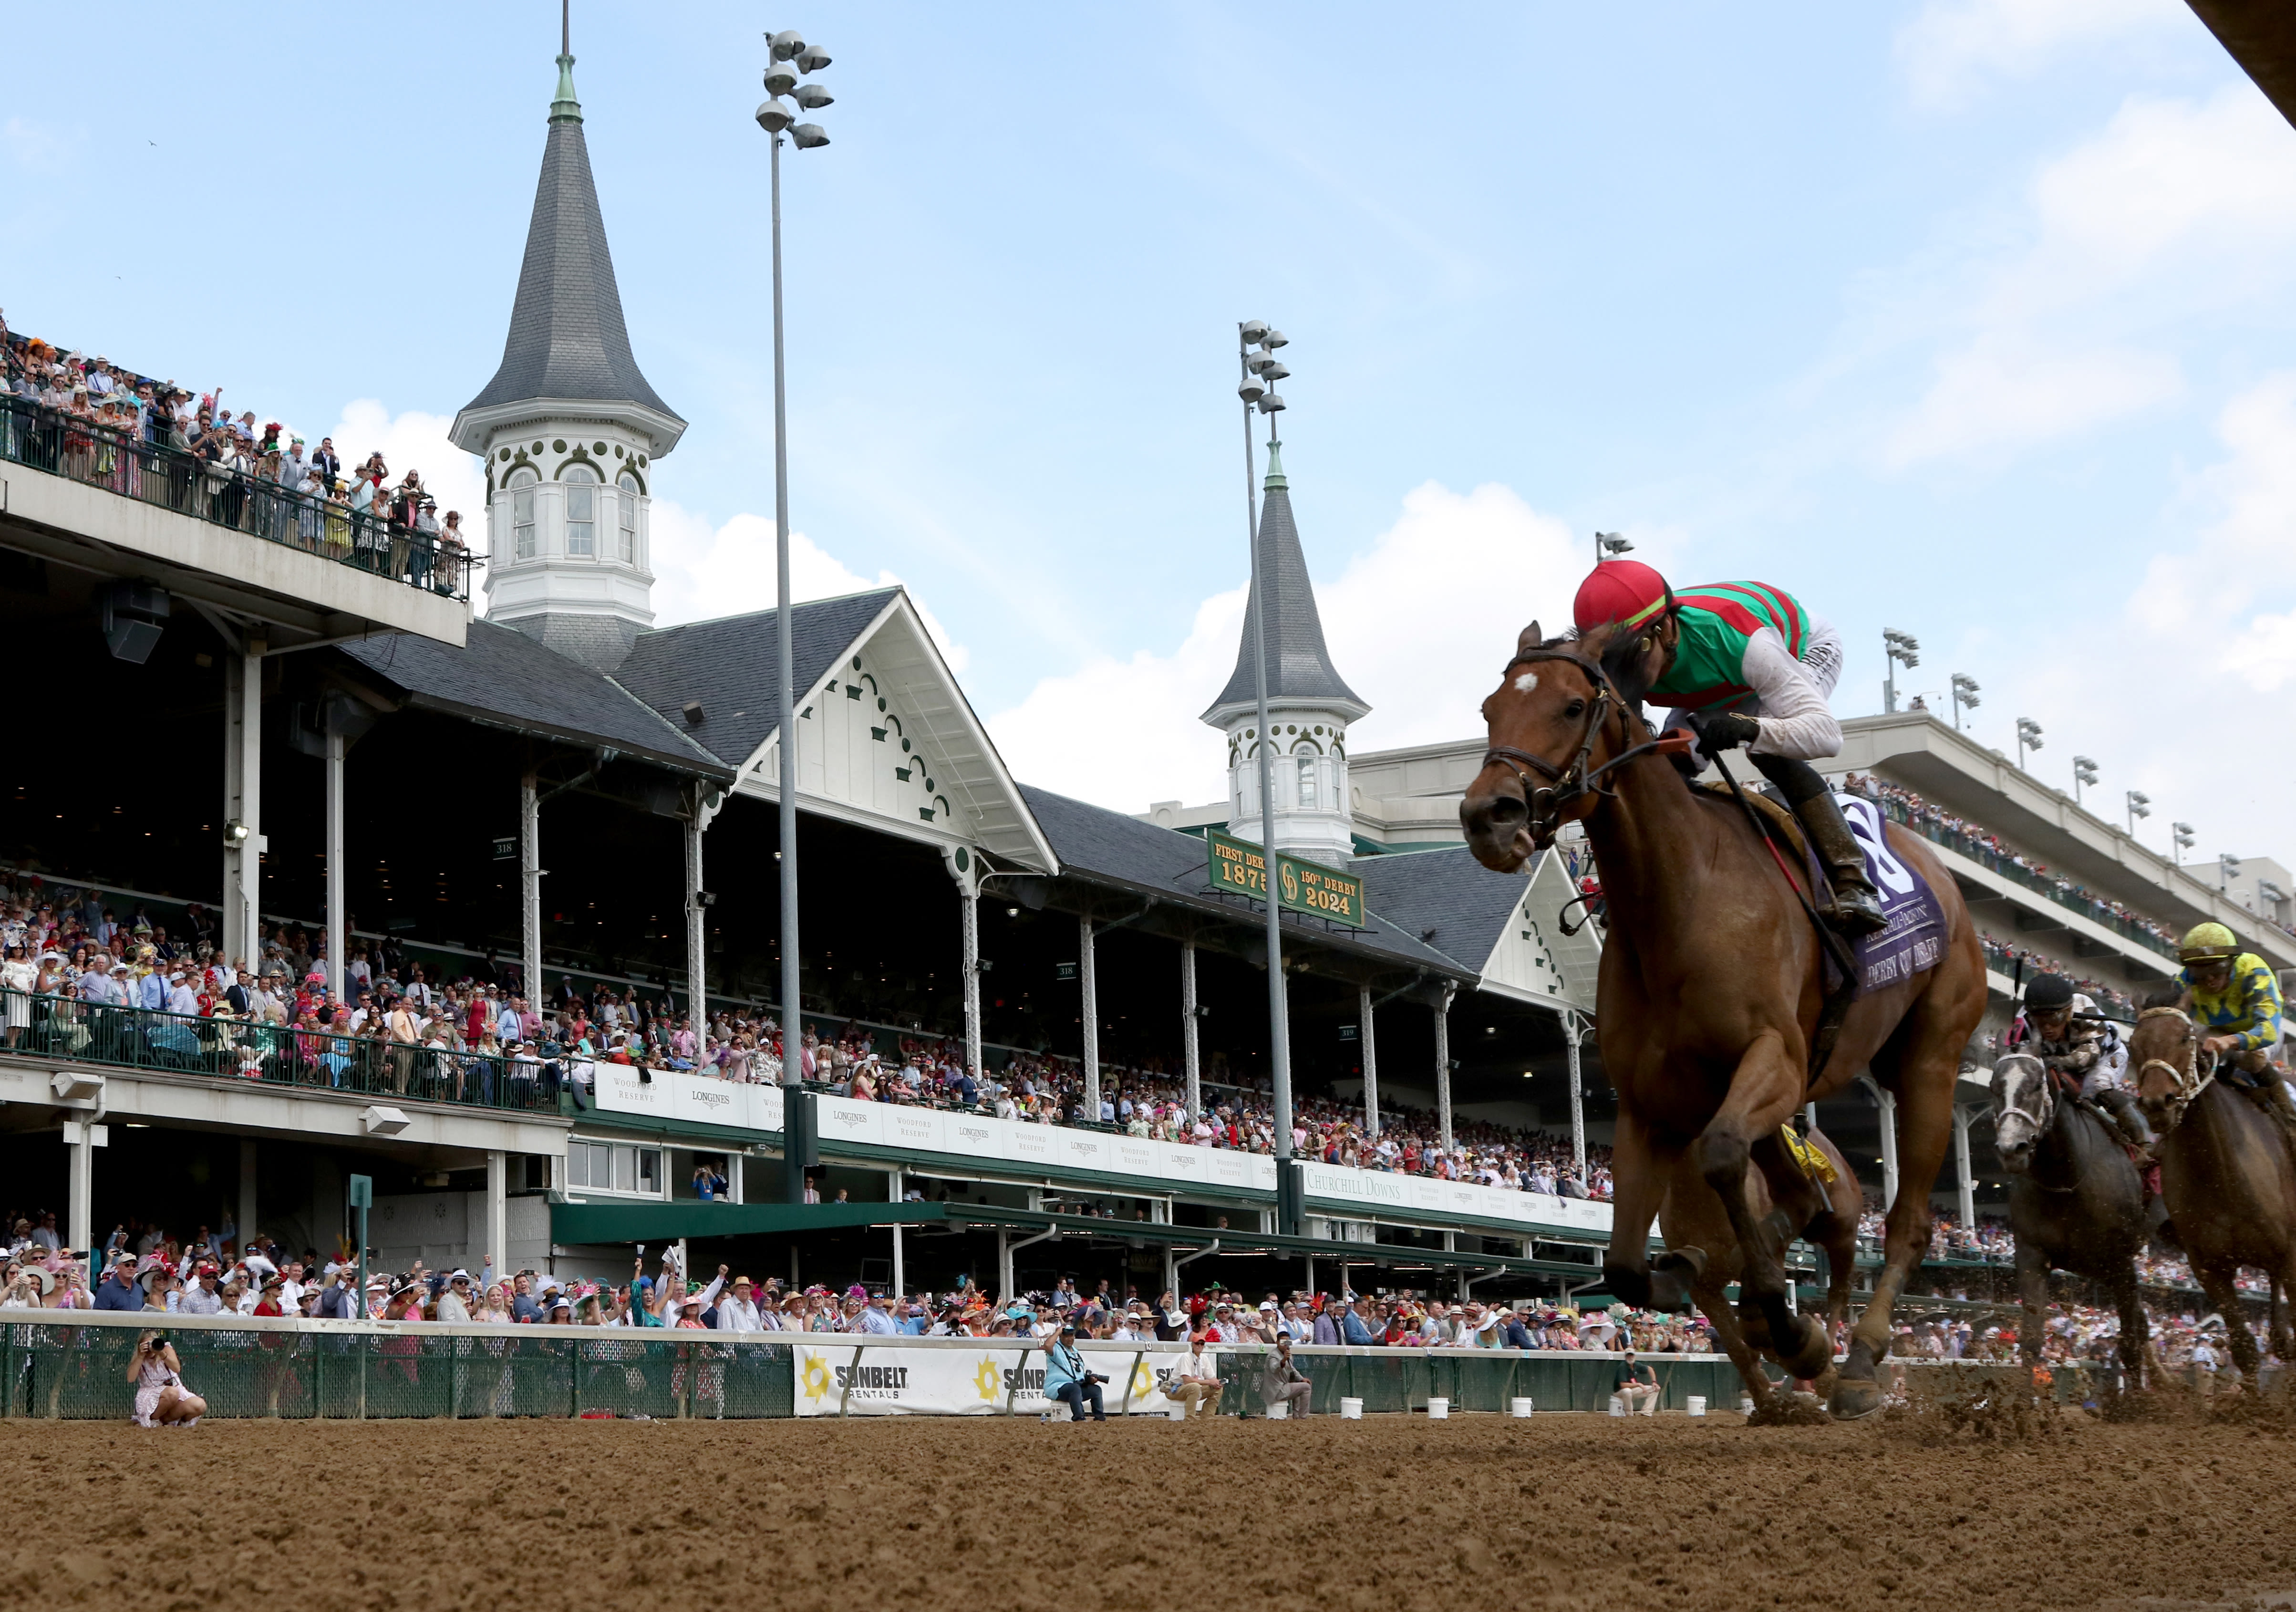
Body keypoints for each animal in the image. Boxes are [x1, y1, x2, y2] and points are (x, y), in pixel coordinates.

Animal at [1469, 624, 1993, 1424]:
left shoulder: (1771, 1054)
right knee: (1800, 1197)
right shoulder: (1648, 1104)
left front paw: (1792, 1328)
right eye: (1489, 707)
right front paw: (1706, 1290)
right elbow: (1624, 1264)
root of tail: (1941, 873)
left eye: (1570, 706)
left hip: (1927, 1060)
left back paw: (1857, 1362)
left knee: (1904, 1219)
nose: (1485, 816)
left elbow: (1718, 1155)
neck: (1679, 900)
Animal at [1993, 1056, 2149, 1387]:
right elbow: (2031, 1339)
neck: (2066, 1178)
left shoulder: (2121, 1260)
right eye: (1995, 1087)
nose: (2012, 1149)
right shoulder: (2032, 1254)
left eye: (2037, 1085)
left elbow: (2130, 1342)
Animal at [2121, 1006, 2286, 1387]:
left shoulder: (2291, 1253)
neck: (2220, 1170)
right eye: (2134, 1044)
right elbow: (2245, 1350)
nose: (2157, 1103)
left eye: (2185, 1038)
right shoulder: (2211, 1268)